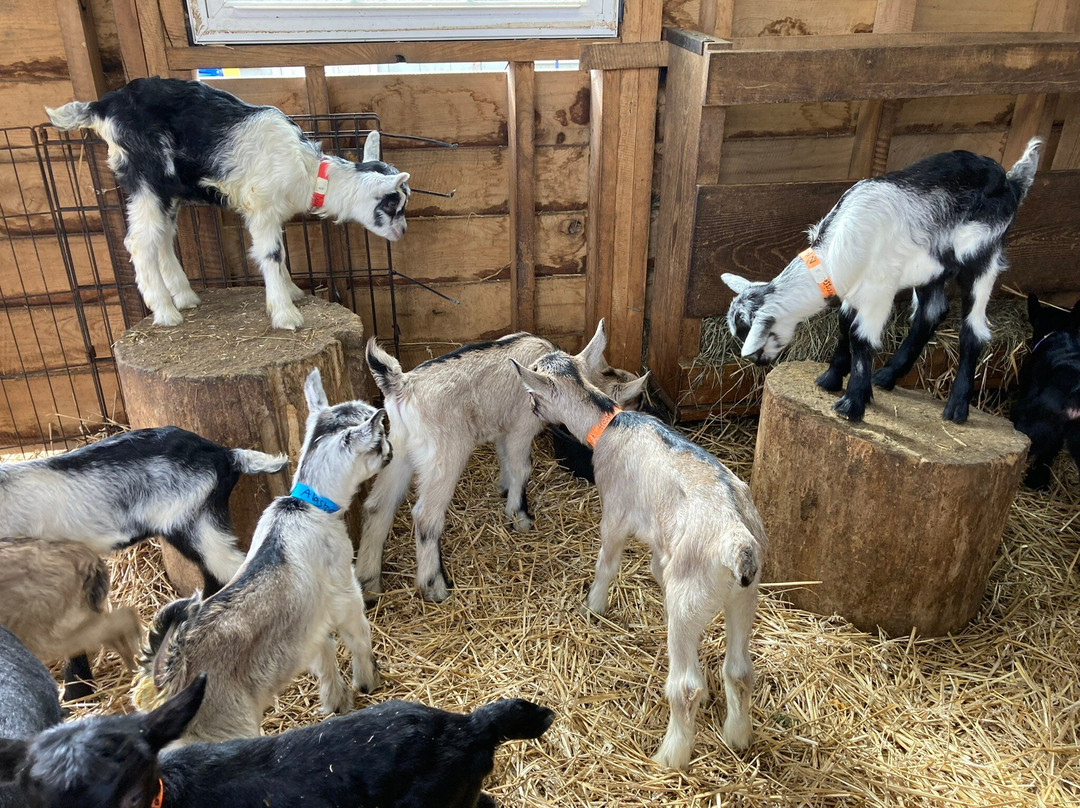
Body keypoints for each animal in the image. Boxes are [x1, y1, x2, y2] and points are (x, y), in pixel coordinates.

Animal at [46, 77, 410, 330]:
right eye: (394, 206)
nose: (404, 232)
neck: (309, 173)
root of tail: (104, 105)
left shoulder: (270, 213)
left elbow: (279, 254)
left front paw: (291, 292)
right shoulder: (261, 206)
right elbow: (271, 254)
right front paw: (285, 314)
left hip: (169, 190)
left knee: (162, 238)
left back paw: (185, 297)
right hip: (147, 177)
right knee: (139, 242)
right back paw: (166, 312)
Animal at [136, 370, 389, 744]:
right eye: (379, 439)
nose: (391, 448)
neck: (306, 505)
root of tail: (170, 678)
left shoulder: (308, 622)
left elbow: (324, 654)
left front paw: (336, 701)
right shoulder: (344, 591)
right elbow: (358, 636)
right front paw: (367, 682)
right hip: (225, 725)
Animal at [359, 320, 645, 602]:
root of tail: (402, 385)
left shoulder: (503, 427)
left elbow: (505, 459)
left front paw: (504, 490)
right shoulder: (522, 425)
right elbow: (522, 467)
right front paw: (519, 517)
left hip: (398, 449)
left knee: (377, 506)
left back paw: (369, 584)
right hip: (444, 455)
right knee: (426, 517)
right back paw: (435, 586)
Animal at [512, 351, 766, 769]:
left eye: (534, 390)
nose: (530, 407)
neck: (609, 422)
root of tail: (738, 541)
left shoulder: (616, 510)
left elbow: (607, 561)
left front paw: (593, 607)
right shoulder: (662, 540)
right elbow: (655, 568)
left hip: (690, 594)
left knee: (686, 687)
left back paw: (669, 756)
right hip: (745, 595)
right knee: (740, 670)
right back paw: (737, 736)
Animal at [722, 138, 1042, 423]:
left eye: (755, 338)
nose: (760, 361)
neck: (832, 253)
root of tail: (1011, 181)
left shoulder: (879, 290)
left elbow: (861, 338)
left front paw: (852, 404)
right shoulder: (853, 288)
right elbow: (844, 326)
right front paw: (830, 379)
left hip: (982, 257)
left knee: (973, 328)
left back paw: (956, 409)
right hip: (933, 268)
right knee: (931, 312)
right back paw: (887, 375)